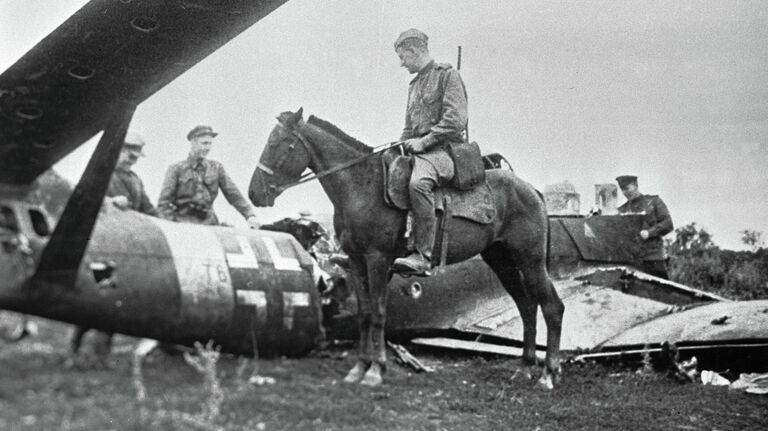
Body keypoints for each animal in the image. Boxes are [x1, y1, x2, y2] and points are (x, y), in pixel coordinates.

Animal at [250, 109, 564, 390]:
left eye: (280, 143)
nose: (255, 193)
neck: (361, 187)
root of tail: (531, 190)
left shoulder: (377, 260)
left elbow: (378, 314)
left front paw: (375, 371)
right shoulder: (356, 261)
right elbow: (365, 314)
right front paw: (359, 368)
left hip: (531, 260)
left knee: (552, 307)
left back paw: (548, 374)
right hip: (502, 261)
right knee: (527, 306)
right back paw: (524, 369)